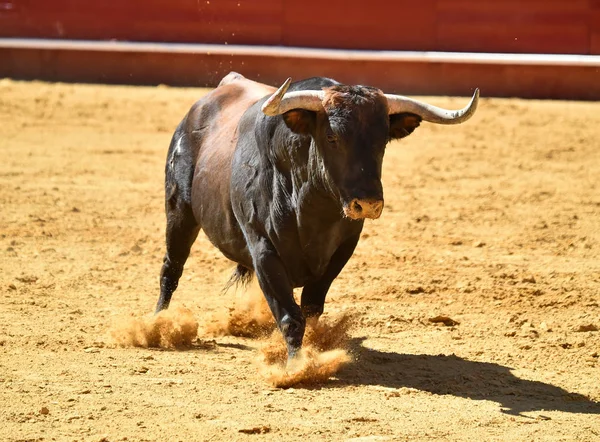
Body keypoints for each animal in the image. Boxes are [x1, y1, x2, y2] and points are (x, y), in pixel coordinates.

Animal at [155, 72, 478, 360]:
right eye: (332, 136)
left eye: (383, 140)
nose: (368, 203)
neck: (313, 210)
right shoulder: (263, 249)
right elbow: (290, 316)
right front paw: (298, 366)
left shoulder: (342, 249)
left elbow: (311, 308)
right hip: (178, 208)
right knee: (172, 268)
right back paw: (157, 326)